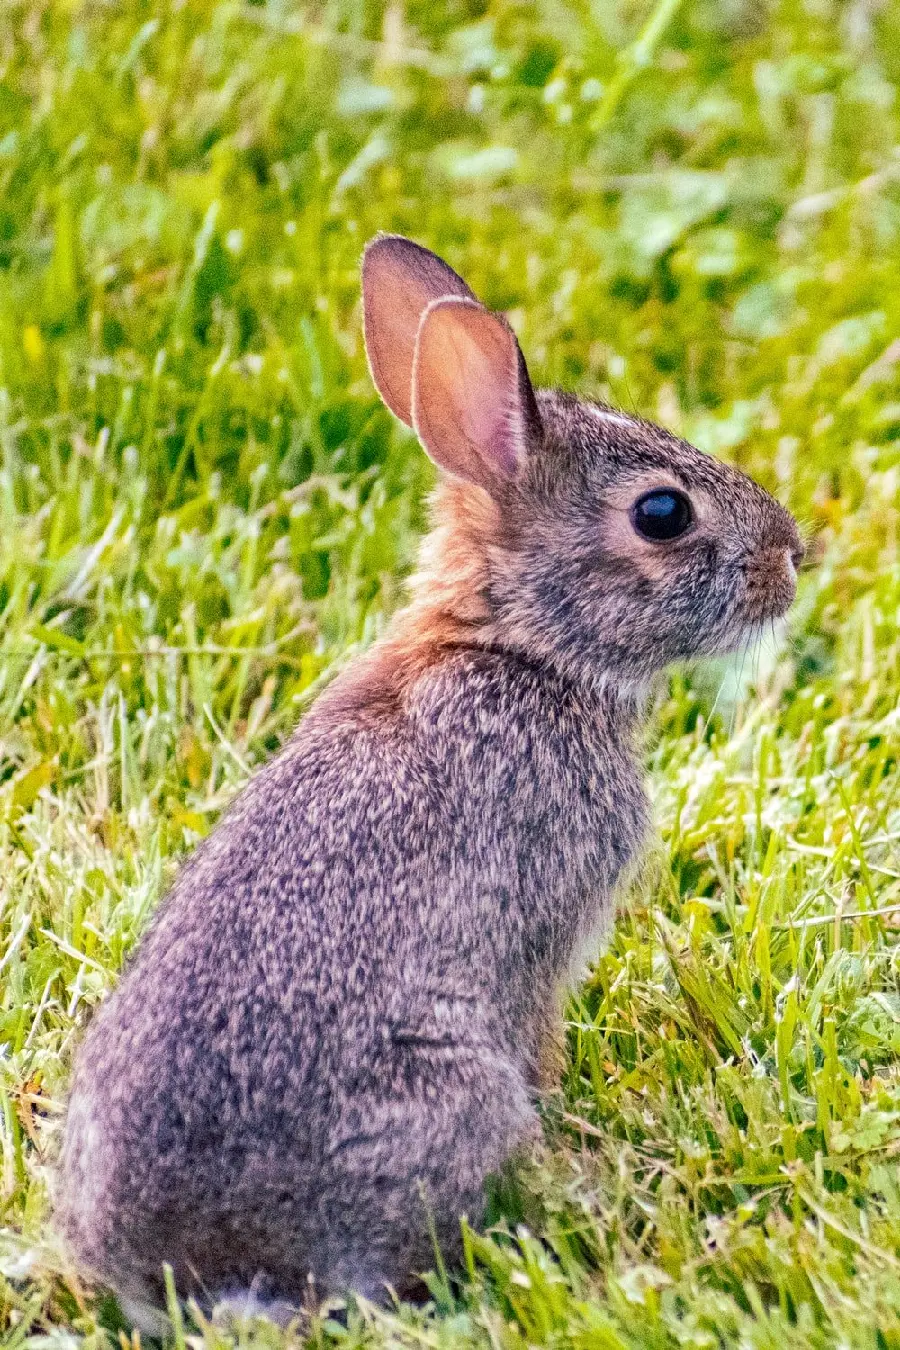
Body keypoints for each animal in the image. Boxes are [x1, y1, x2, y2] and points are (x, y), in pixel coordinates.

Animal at [56, 234, 804, 1328]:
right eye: (663, 512)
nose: (793, 558)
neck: (518, 648)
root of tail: (183, 1271)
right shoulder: (540, 935)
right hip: (444, 1094)